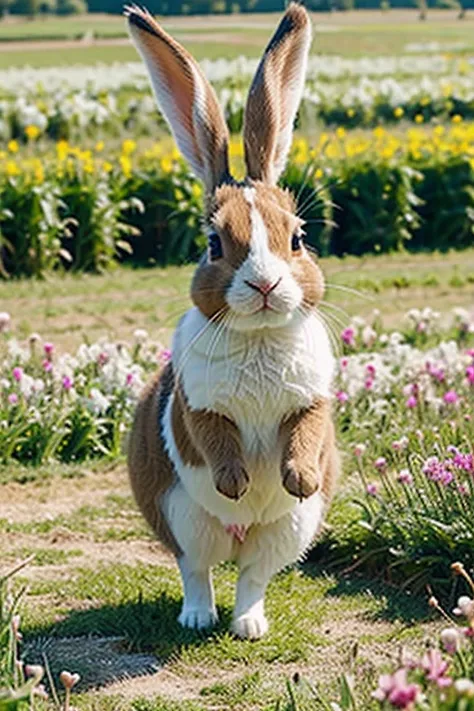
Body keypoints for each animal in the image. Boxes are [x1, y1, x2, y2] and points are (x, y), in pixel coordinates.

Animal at [126, 2, 340, 644]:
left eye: (298, 237)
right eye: (214, 244)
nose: (265, 285)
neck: (259, 335)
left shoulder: (312, 401)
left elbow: (304, 433)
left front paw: (298, 479)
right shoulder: (198, 406)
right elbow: (214, 438)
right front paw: (237, 485)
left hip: (286, 533)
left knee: (251, 575)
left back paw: (249, 624)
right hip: (181, 519)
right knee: (195, 571)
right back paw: (198, 618)